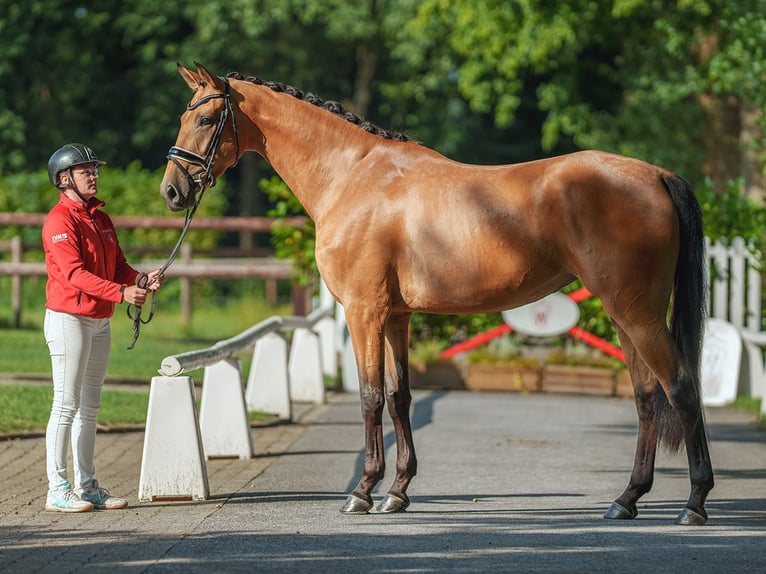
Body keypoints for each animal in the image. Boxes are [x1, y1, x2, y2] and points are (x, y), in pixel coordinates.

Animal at [160, 62, 712, 528]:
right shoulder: (396, 317)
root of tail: (657, 175)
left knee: (682, 388)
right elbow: (400, 396)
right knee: (647, 397)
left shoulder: (363, 312)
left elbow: (369, 396)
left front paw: (362, 491)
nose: (172, 191)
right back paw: (626, 500)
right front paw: (397, 492)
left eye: (206, 118)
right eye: (185, 116)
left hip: (638, 315)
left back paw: (694, 504)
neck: (353, 175)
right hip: (624, 317)